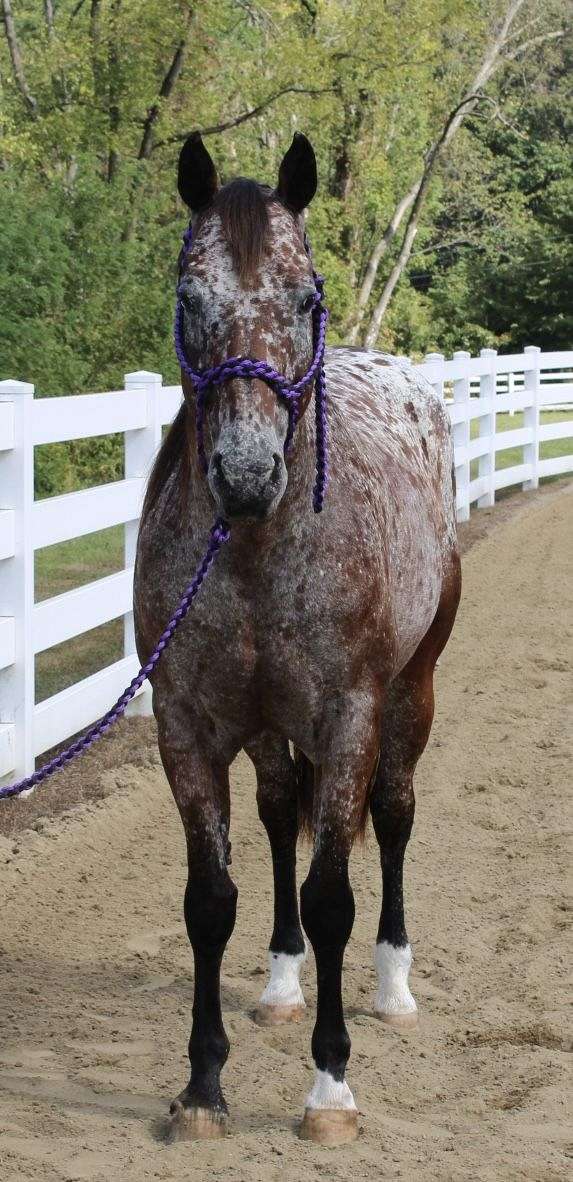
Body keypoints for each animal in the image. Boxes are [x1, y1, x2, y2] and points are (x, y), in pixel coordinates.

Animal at [134, 131, 461, 1146]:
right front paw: (202, 1086)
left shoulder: (348, 720)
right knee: (282, 819)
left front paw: (329, 1087)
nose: (245, 474)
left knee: (392, 816)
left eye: (303, 297)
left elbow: (332, 899)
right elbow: (211, 902)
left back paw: (392, 986)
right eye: (188, 296)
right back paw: (281, 984)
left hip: (411, 694)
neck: (255, 553)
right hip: (272, 733)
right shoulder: (187, 729)